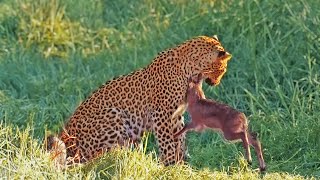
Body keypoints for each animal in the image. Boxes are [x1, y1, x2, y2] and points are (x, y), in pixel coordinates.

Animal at [47, 34, 232, 166]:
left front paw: (182, 162)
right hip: (114, 116)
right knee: (92, 159)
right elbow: (167, 141)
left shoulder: (176, 114)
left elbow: (180, 137)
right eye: (223, 69)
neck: (192, 71)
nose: (217, 82)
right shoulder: (162, 114)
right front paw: (171, 165)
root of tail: (66, 136)